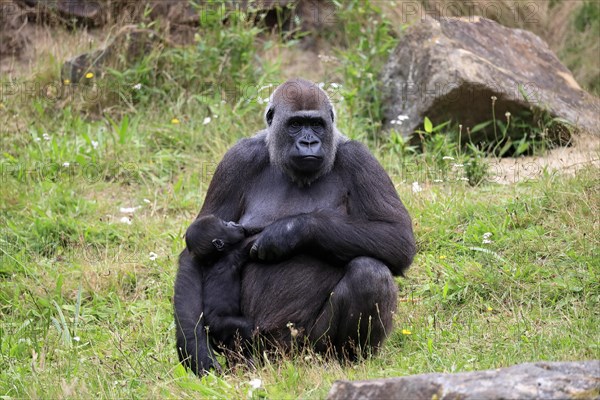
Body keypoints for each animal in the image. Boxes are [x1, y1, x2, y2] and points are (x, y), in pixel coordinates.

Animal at [184, 216, 256, 362]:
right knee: (245, 327)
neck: (216, 257)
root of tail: (208, 328)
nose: (234, 223)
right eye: (225, 225)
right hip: (219, 325)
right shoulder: (234, 254)